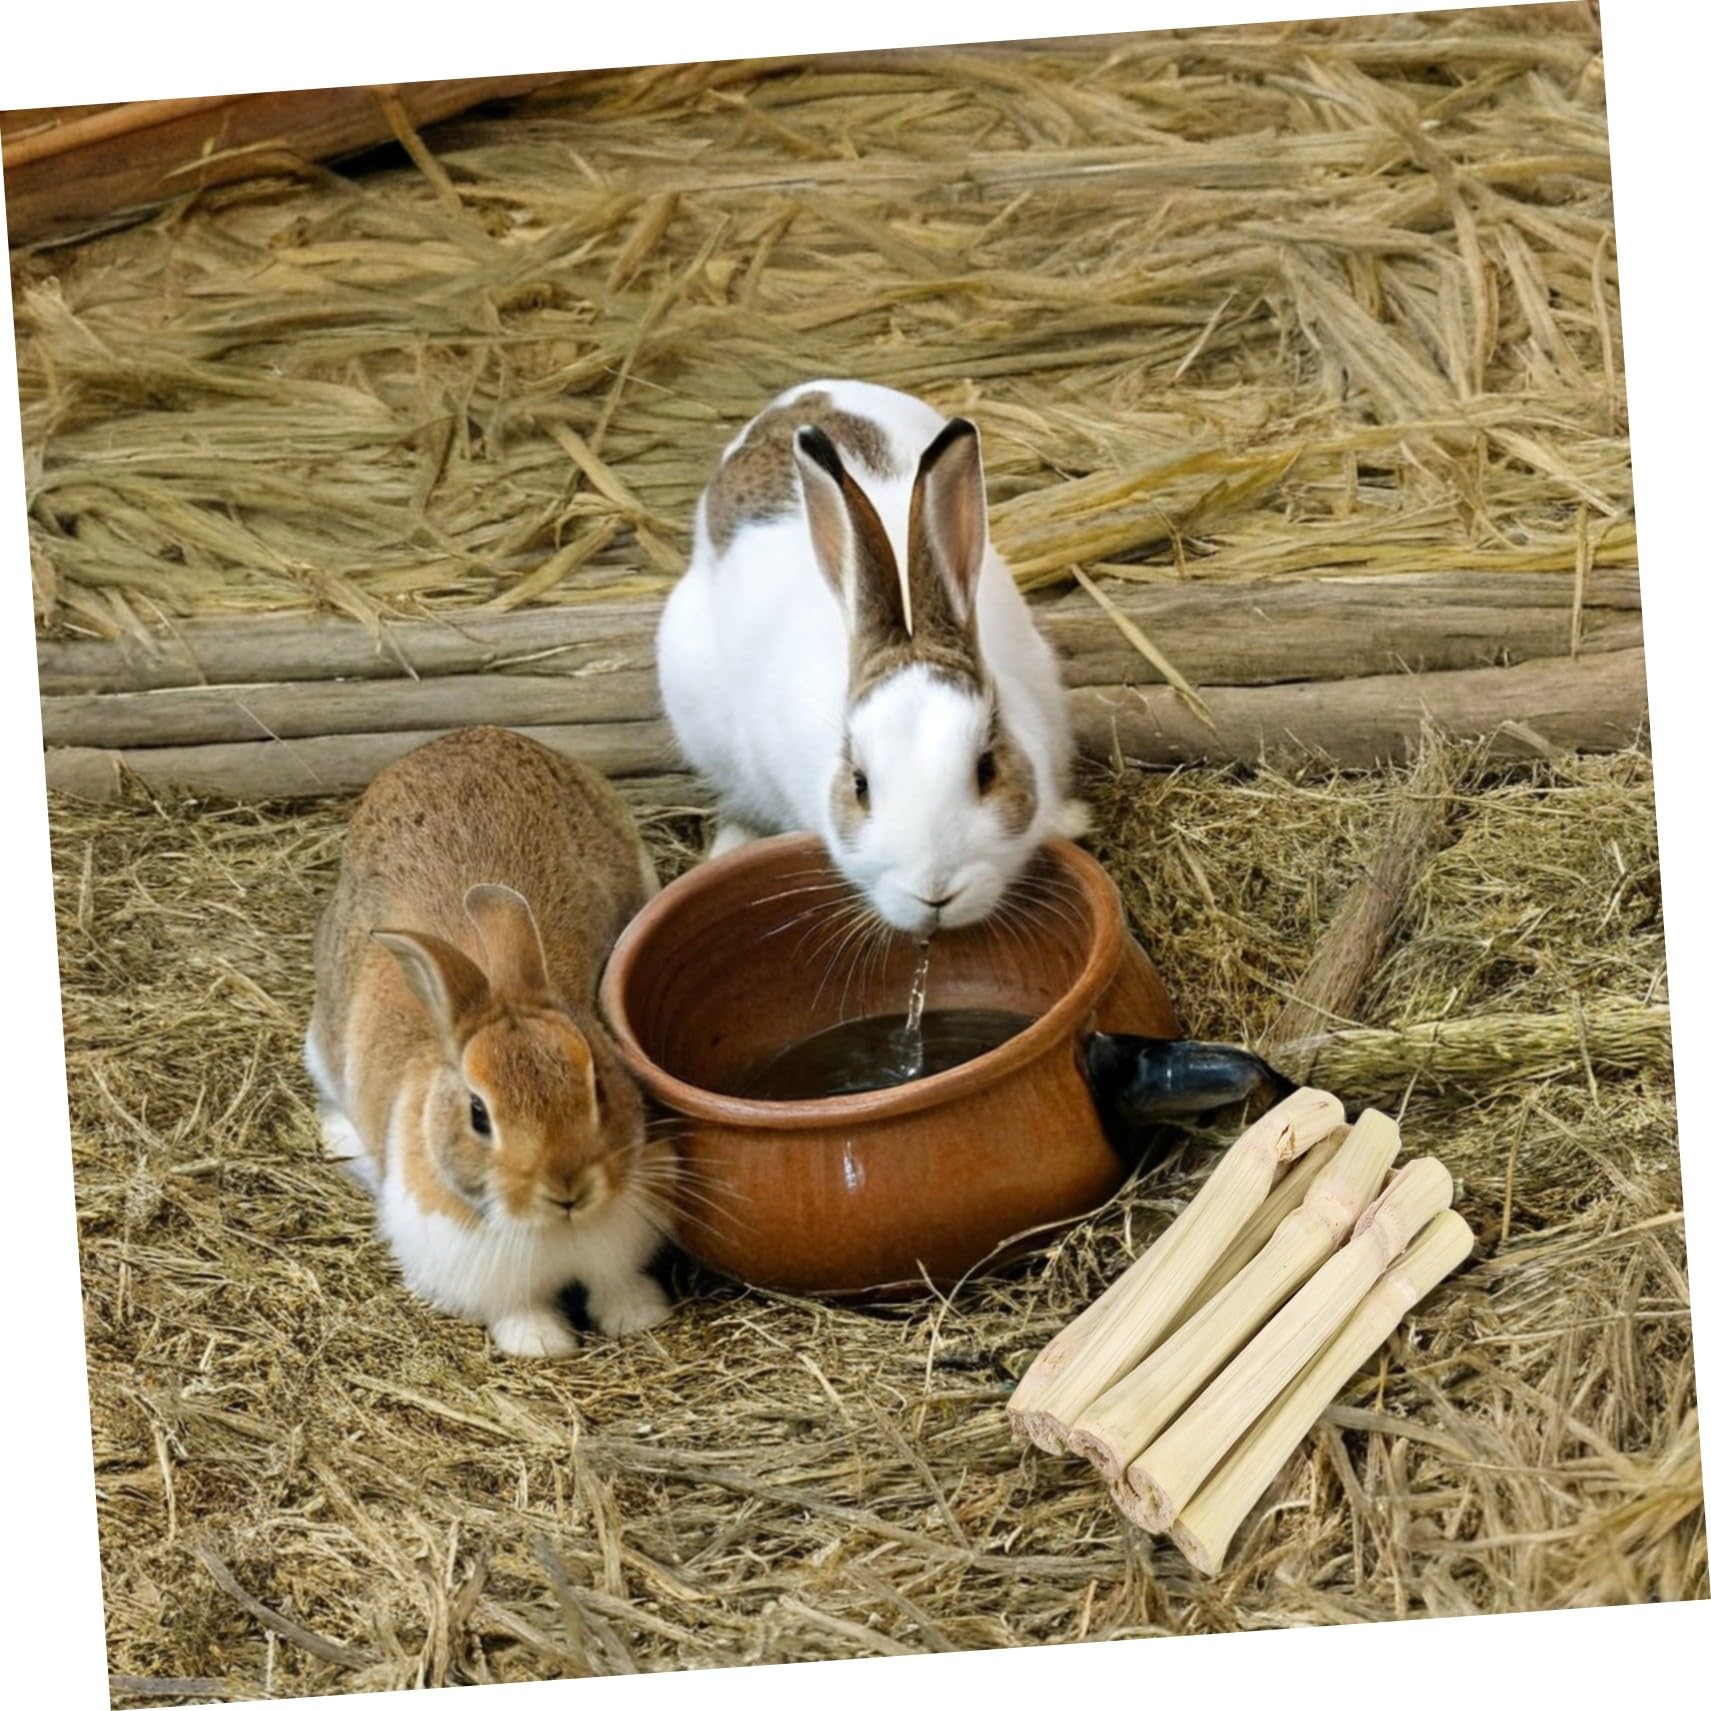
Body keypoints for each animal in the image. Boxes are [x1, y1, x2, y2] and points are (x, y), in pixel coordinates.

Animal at [303, 725, 672, 1358]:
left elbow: (618, 1283)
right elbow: (517, 1310)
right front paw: (542, 1343)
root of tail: (460, 737)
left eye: (598, 1082)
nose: (568, 1186)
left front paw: (638, 1316)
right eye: (479, 1115)